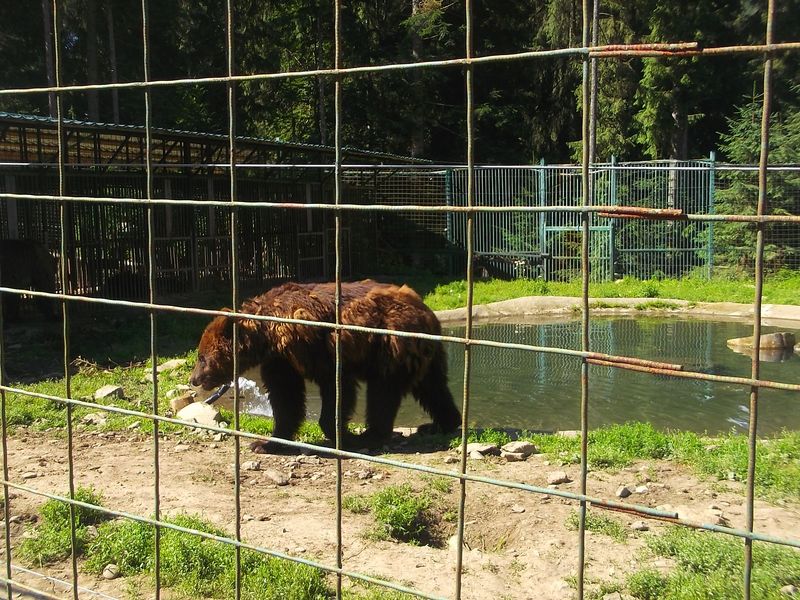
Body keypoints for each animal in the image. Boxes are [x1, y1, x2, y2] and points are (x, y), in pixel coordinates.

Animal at [190, 280, 462, 453]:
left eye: (201, 357)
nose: (194, 379)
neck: (268, 334)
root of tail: (425, 309)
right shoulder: (280, 361)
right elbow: (285, 398)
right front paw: (267, 443)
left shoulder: (315, 346)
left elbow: (336, 387)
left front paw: (344, 435)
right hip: (424, 354)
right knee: (434, 388)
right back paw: (441, 423)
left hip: (392, 346)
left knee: (383, 393)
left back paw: (372, 434)